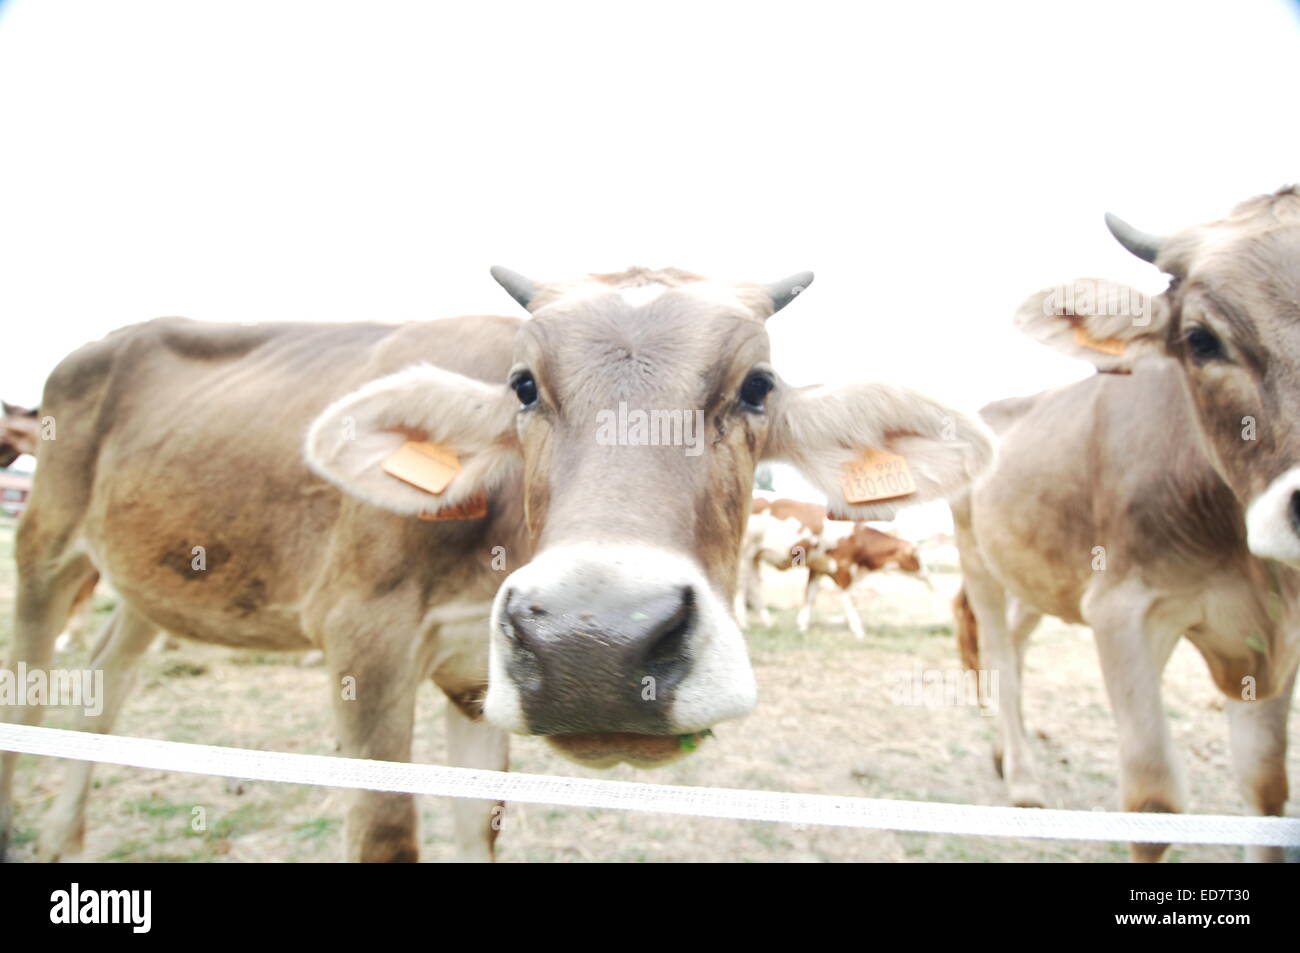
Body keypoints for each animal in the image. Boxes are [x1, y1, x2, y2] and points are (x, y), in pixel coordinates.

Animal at [737, 496, 931, 638]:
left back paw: (767, 622)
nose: (928, 577)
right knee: (742, 587)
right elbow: (848, 599)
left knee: (754, 586)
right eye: (917, 556)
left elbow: (810, 595)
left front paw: (802, 626)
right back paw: (743, 622)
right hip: (744, 553)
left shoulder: (817, 569)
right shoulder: (844, 568)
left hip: (754, 556)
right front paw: (858, 630)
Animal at [953, 186, 1300, 862]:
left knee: (1018, 641)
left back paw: (1010, 753)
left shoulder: (1273, 635)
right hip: (978, 562)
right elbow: (1153, 801)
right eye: (1200, 339)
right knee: (999, 652)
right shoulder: (1123, 609)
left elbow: (1266, 789)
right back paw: (1024, 779)